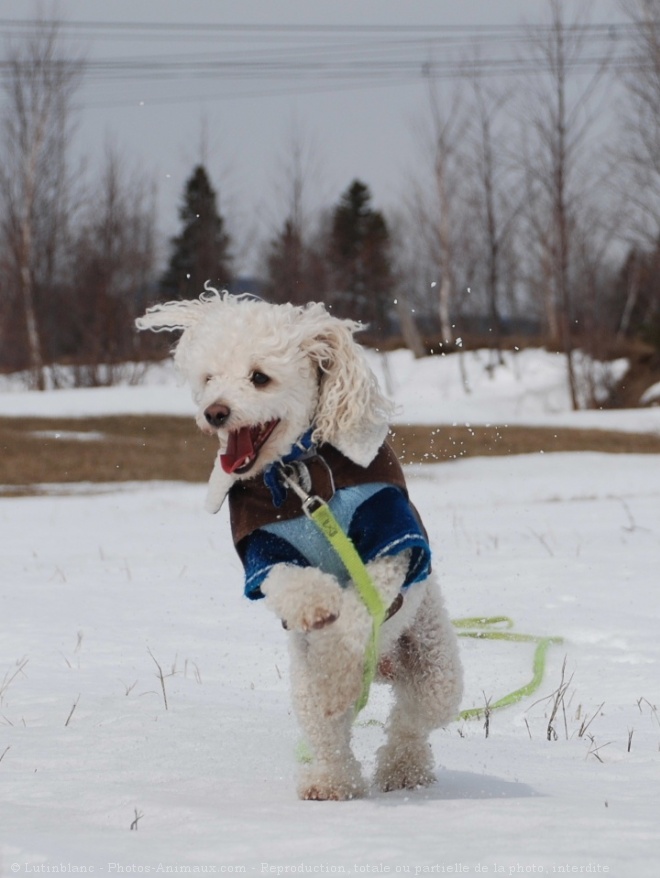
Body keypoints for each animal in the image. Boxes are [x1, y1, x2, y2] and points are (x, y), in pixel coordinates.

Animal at [137, 292, 462, 800]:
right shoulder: (264, 548)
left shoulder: (389, 532)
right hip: (306, 690)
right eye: (209, 378)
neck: (297, 472)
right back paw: (331, 781)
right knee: (328, 730)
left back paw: (402, 768)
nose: (215, 412)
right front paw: (316, 607)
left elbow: (365, 600)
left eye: (259, 377)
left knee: (411, 721)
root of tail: (385, 663)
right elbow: (290, 582)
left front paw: (341, 637)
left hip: (434, 667)